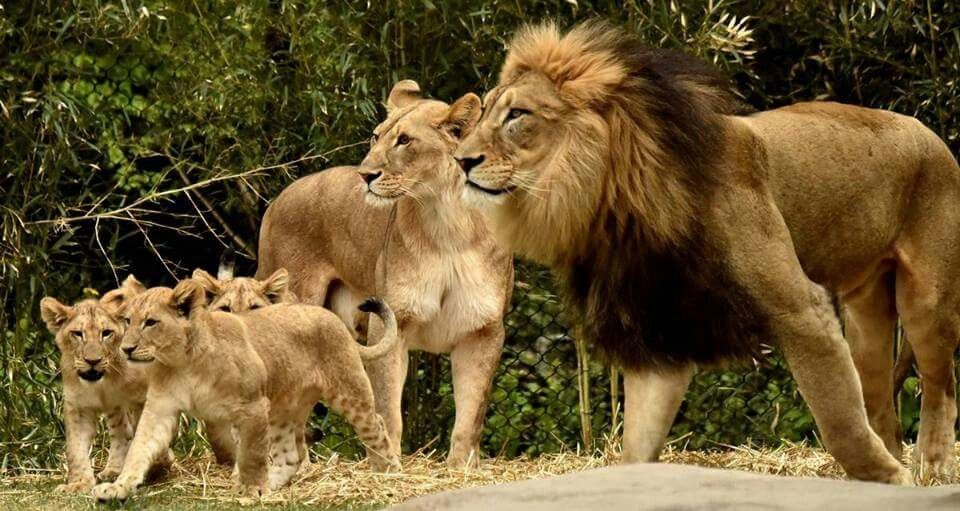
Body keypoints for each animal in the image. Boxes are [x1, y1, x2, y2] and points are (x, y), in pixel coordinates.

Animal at [39, 276, 172, 493]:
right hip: (114, 408)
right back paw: (113, 470)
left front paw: (159, 464)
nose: (92, 361)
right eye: (78, 334)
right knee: (121, 432)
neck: (102, 383)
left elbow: (147, 432)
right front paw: (78, 483)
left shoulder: (145, 398)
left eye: (106, 333)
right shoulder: (78, 407)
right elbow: (75, 448)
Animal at [92, 279, 402, 501]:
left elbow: (251, 453)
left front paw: (252, 490)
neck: (182, 361)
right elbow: (139, 448)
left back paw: (390, 475)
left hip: (348, 390)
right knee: (291, 454)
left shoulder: (253, 406)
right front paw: (117, 487)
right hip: (283, 406)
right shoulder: (160, 408)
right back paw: (273, 484)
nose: (126, 348)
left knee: (376, 425)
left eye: (151, 322)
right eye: (127, 320)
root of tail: (333, 317)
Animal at [256, 81, 514, 468]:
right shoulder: (391, 323)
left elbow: (471, 414)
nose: (365, 175)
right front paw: (388, 467)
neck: (448, 223)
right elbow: (389, 408)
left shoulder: (483, 330)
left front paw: (462, 468)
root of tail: (278, 199)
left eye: (404, 140)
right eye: (376, 136)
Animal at [454, 21, 960, 483]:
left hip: (926, 302)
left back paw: (930, 466)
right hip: (864, 318)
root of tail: (926, 129)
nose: (461, 160)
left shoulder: (801, 310)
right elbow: (637, 441)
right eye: (484, 113)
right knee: (882, 401)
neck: (617, 205)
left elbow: (839, 419)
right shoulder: (663, 329)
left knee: (940, 386)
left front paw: (890, 478)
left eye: (518, 114)